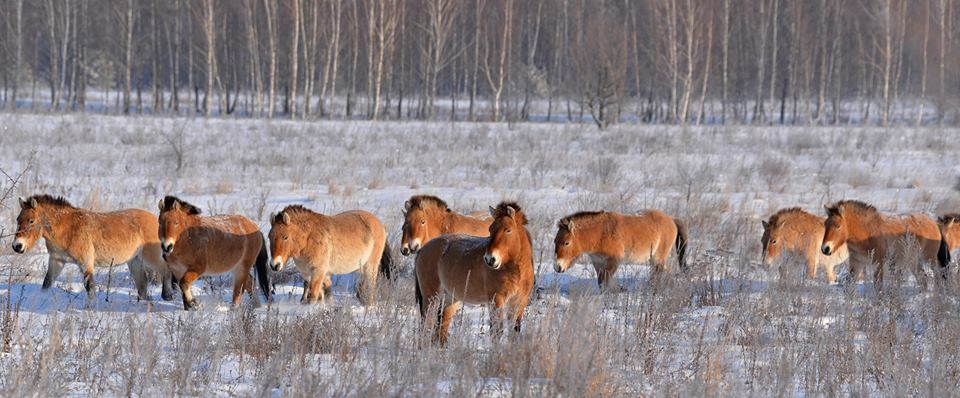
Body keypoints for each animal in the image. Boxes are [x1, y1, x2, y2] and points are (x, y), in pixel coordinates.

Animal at [12, 194, 176, 300]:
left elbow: (90, 288)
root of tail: (156, 219)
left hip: (151, 258)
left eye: (31, 221)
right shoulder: (56, 261)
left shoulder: (86, 263)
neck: (68, 229)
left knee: (166, 271)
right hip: (134, 261)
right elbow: (46, 283)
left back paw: (168, 296)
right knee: (142, 285)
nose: (17, 246)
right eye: (18, 219)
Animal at [412, 202, 532, 346]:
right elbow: (497, 331)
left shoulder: (520, 300)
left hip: (451, 299)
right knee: (426, 324)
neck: (516, 270)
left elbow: (515, 329)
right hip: (431, 297)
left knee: (442, 327)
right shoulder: (496, 300)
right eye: (491, 229)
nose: (490, 259)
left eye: (508, 230)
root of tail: (423, 249)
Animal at [552, 208, 688, 290]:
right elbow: (601, 282)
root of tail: (671, 219)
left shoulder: (613, 262)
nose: (557, 267)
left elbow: (605, 280)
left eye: (566, 243)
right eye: (555, 242)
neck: (600, 234)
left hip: (658, 259)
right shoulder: (598, 262)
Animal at [820, 199, 948, 290]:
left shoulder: (878, 263)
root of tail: (934, 223)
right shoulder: (857, 262)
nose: (825, 249)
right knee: (923, 279)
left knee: (938, 276)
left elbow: (878, 286)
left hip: (929, 259)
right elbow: (849, 285)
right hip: (913, 261)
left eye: (838, 226)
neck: (867, 232)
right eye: (825, 225)